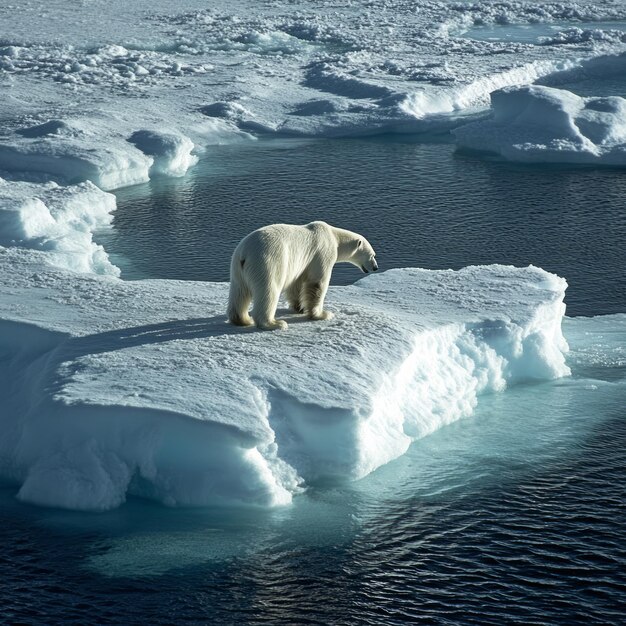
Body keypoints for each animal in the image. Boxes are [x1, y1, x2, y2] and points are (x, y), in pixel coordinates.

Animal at [228, 219, 376, 330]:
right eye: (372, 255)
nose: (376, 267)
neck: (334, 237)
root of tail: (244, 254)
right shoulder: (323, 253)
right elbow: (317, 283)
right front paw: (322, 314)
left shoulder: (302, 264)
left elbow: (297, 284)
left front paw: (299, 308)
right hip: (267, 262)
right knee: (269, 290)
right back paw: (275, 324)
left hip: (237, 269)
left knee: (239, 292)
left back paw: (242, 320)